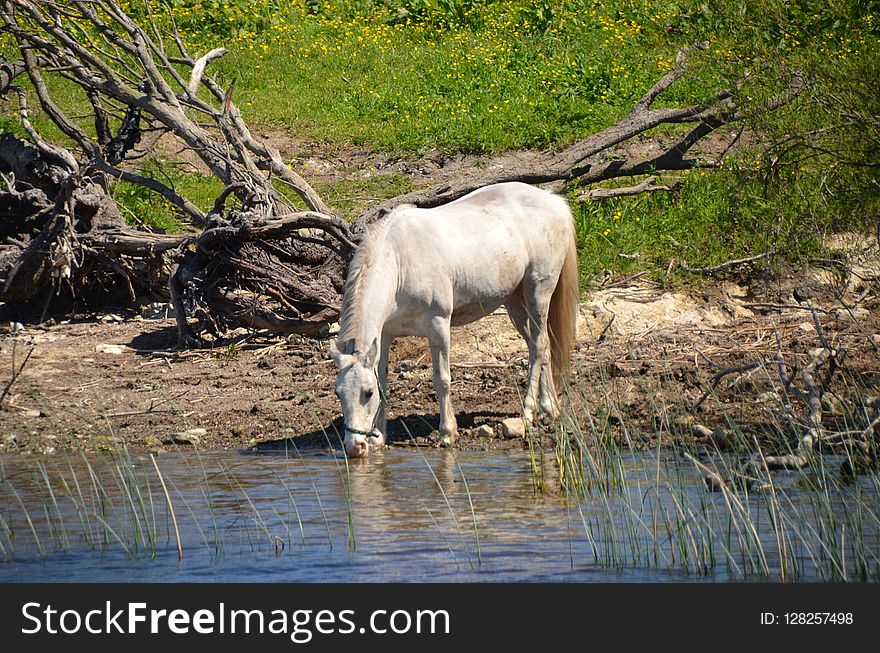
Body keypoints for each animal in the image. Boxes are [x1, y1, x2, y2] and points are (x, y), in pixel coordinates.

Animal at [330, 181, 576, 458]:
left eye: (367, 392)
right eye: (338, 393)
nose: (355, 447)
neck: (399, 261)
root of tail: (554, 201)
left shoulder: (438, 325)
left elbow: (442, 379)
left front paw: (447, 433)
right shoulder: (384, 335)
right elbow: (382, 377)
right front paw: (379, 437)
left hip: (538, 293)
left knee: (540, 347)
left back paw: (528, 411)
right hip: (514, 302)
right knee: (540, 348)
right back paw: (549, 408)